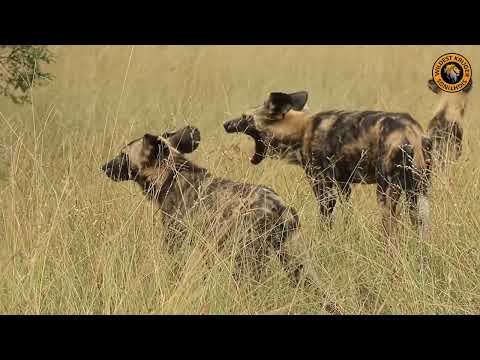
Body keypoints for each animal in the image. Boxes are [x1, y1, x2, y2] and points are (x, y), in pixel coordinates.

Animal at [100, 126, 304, 284]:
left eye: (123, 155)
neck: (170, 176)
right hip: (295, 262)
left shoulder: (176, 242)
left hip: (246, 259)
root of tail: (279, 205)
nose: (103, 167)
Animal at [223, 90, 434, 236]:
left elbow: (325, 221)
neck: (301, 129)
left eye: (245, 117)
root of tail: (411, 131)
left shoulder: (322, 186)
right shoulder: (343, 185)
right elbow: (347, 216)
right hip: (418, 193)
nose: (225, 124)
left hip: (386, 193)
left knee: (391, 230)